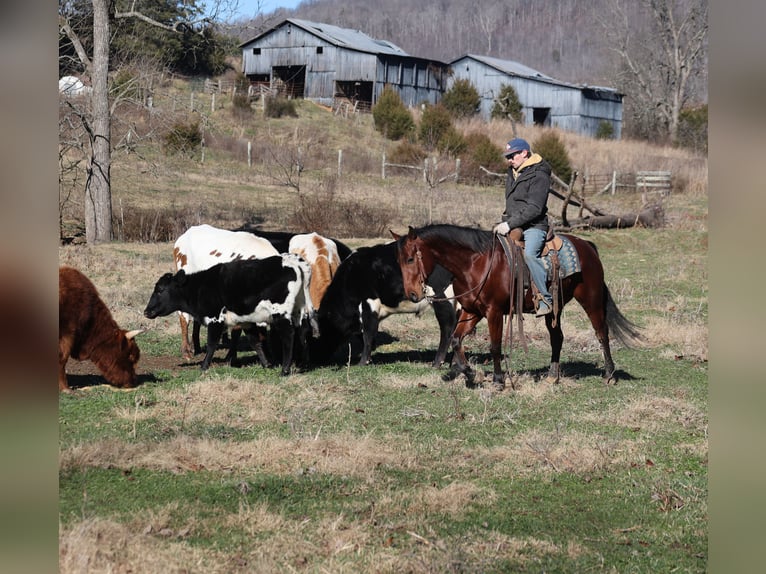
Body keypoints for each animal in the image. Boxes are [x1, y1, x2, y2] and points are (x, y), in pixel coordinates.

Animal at [394, 223, 641, 388]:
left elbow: (495, 346)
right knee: (557, 337)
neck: (475, 263)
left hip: (591, 299)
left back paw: (609, 374)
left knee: (602, 332)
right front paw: (466, 372)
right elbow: (456, 339)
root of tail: (587, 246)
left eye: (410, 259)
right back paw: (552, 375)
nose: (413, 294)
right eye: (399, 260)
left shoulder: (493, 312)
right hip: (555, 308)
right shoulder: (472, 311)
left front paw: (498, 380)